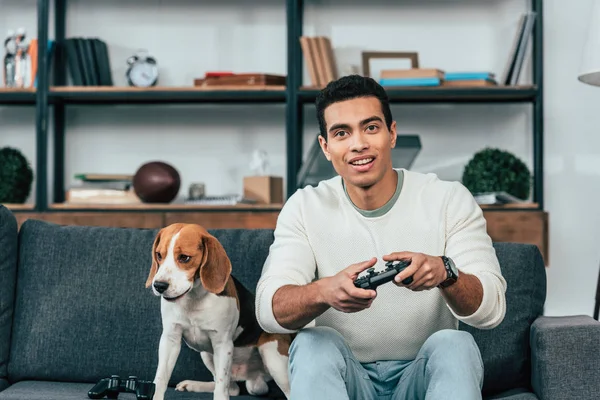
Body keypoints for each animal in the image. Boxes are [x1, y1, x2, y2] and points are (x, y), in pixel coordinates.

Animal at [148, 223, 292, 398]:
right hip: (206, 354)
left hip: (272, 355)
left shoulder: (222, 344)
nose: (159, 286)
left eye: (184, 258)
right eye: (159, 255)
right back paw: (194, 385)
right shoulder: (170, 339)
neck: (194, 299)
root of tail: (251, 376)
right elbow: (160, 379)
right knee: (233, 388)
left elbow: (221, 388)